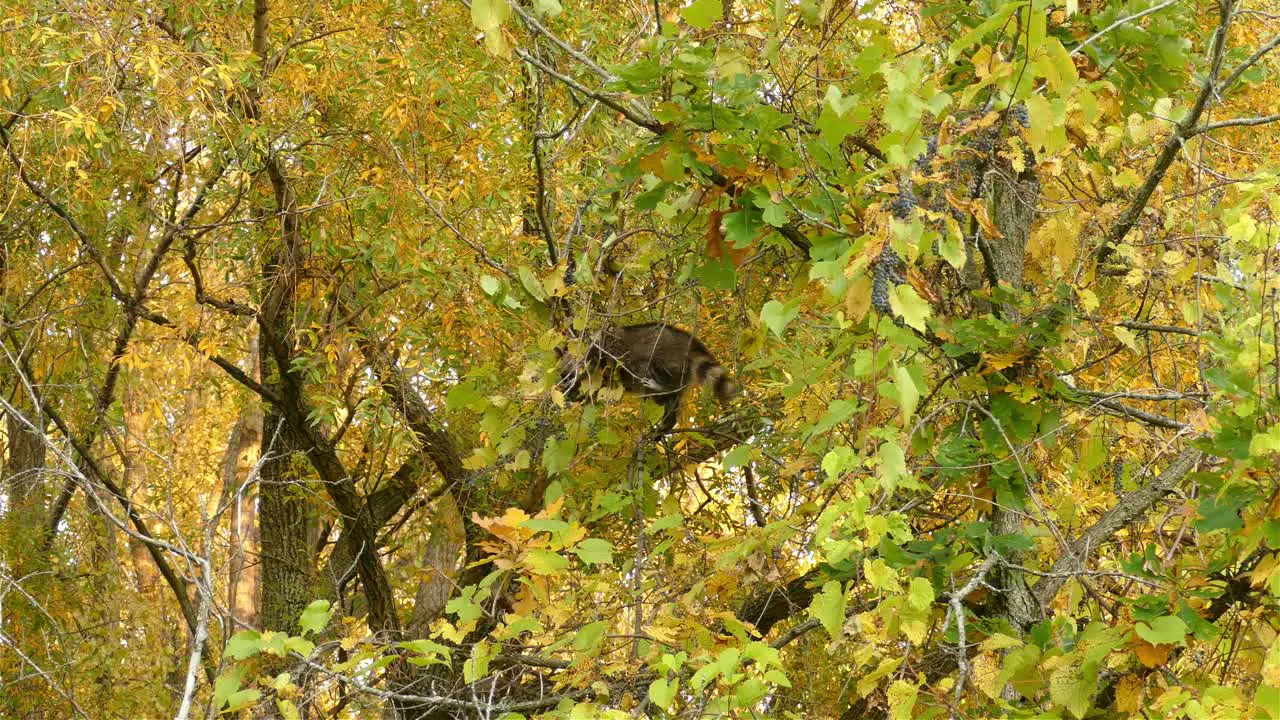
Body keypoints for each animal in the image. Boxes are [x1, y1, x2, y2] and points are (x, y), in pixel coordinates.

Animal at [552, 322, 742, 427]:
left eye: (574, 367)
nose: (567, 381)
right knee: (671, 399)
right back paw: (668, 421)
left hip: (661, 353)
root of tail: (688, 343)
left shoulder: (602, 361)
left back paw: (661, 386)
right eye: (563, 373)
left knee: (643, 368)